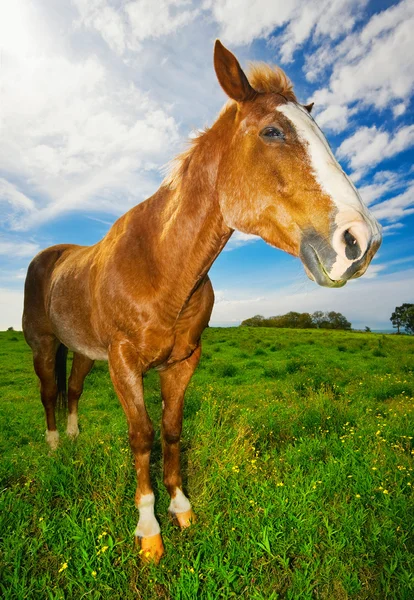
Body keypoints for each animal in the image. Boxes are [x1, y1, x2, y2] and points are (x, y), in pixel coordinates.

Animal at [22, 42, 382, 564]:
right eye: (272, 131)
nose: (362, 241)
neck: (161, 265)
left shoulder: (183, 361)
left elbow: (171, 430)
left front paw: (181, 508)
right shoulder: (124, 362)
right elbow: (142, 436)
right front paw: (149, 530)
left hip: (85, 353)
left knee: (72, 390)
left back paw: (73, 438)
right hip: (44, 345)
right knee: (50, 392)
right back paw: (53, 448)